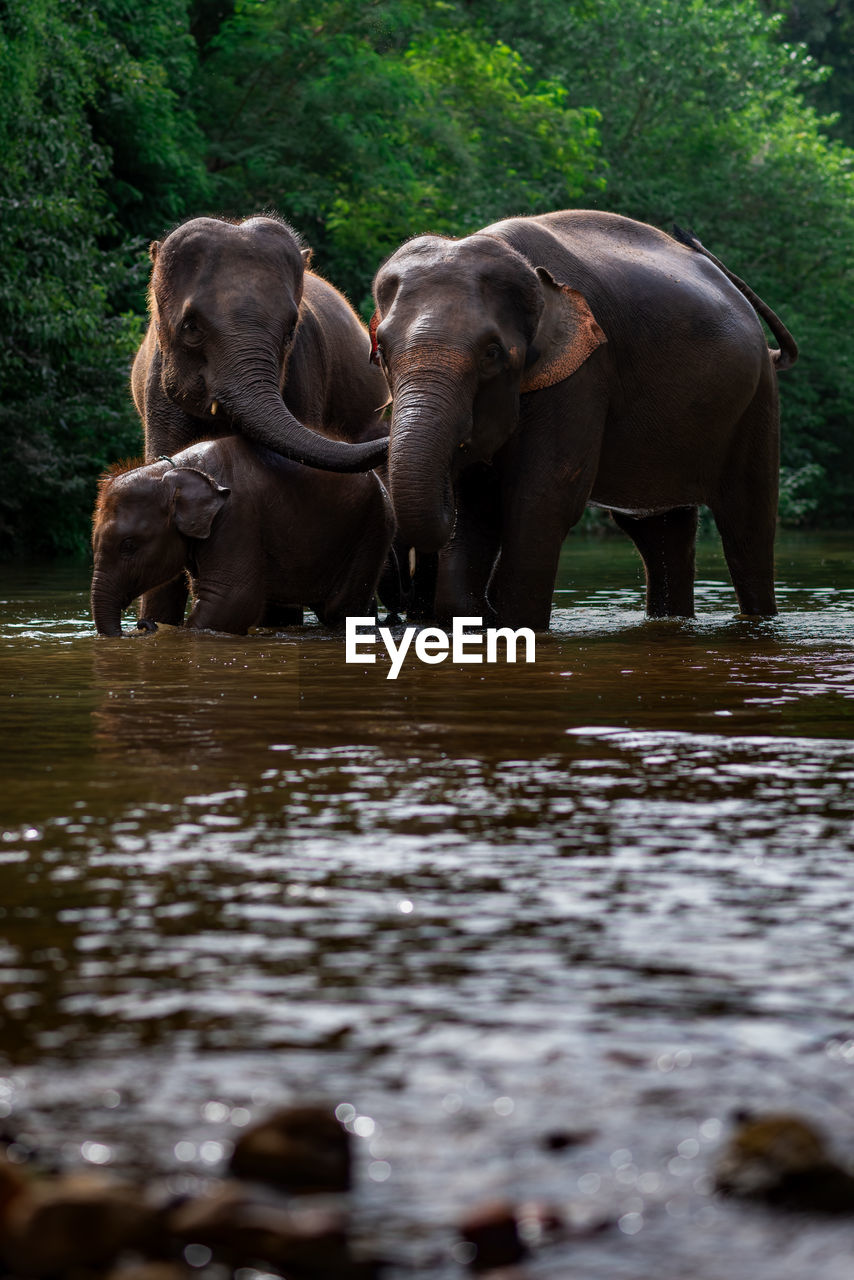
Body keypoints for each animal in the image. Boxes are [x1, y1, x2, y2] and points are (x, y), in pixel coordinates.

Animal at [90, 437, 394, 637]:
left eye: (129, 545)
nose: (143, 625)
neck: (170, 472)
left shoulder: (237, 517)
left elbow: (231, 598)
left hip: (371, 530)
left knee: (340, 608)